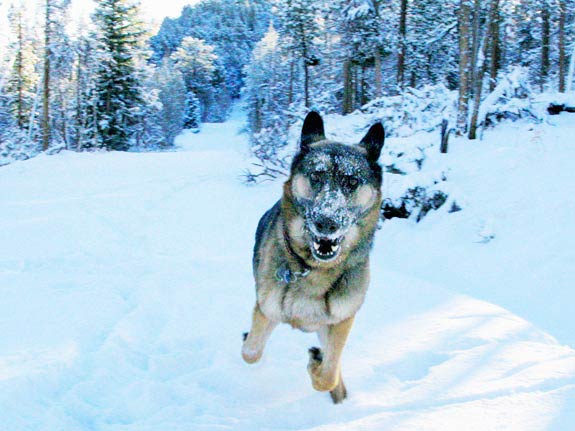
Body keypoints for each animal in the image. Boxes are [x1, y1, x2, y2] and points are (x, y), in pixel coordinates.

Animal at [241, 111, 384, 404]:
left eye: (352, 181)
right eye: (316, 176)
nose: (326, 222)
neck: (313, 269)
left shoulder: (341, 321)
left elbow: (329, 373)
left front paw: (318, 365)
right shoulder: (266, 310)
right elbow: (251, 352)